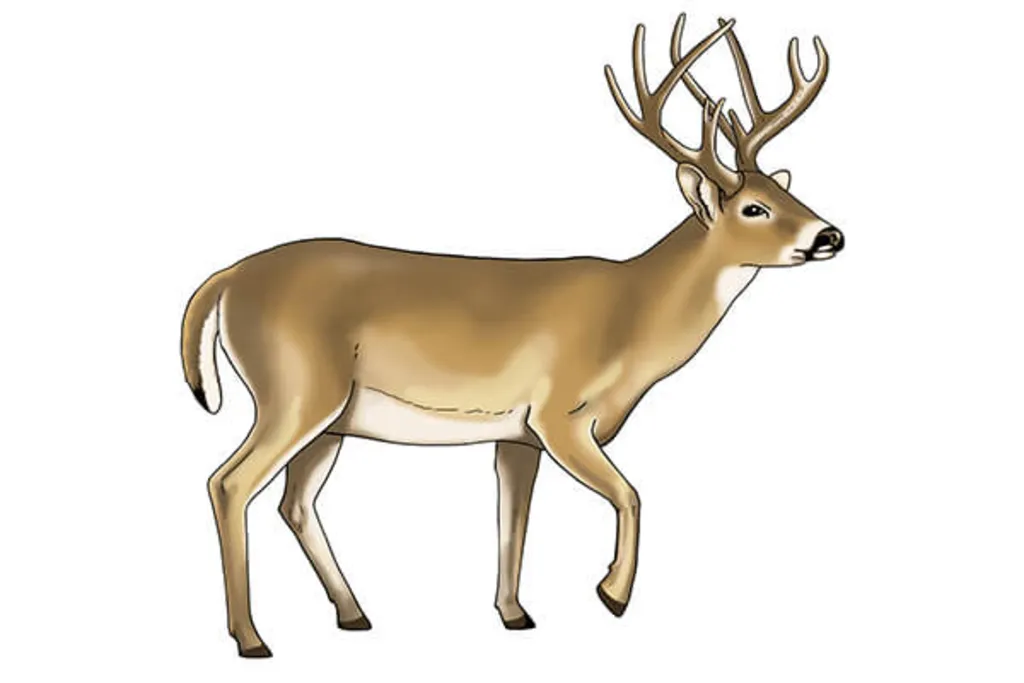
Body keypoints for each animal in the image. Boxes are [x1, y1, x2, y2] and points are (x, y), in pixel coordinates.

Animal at [181, 13, 842, 657]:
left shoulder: (518, 434)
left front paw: (515, 614)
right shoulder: (560, 414)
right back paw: (252, 639)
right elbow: (630, 493)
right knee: (230, 482)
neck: (632, 312)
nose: (830, 234)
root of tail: (225, 279)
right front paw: (612, 594)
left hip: (331, 418)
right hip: (295, 389)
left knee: (293, 502)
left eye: (788, 191)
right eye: (754, 208)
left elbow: (513, 520)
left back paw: (353, 615)